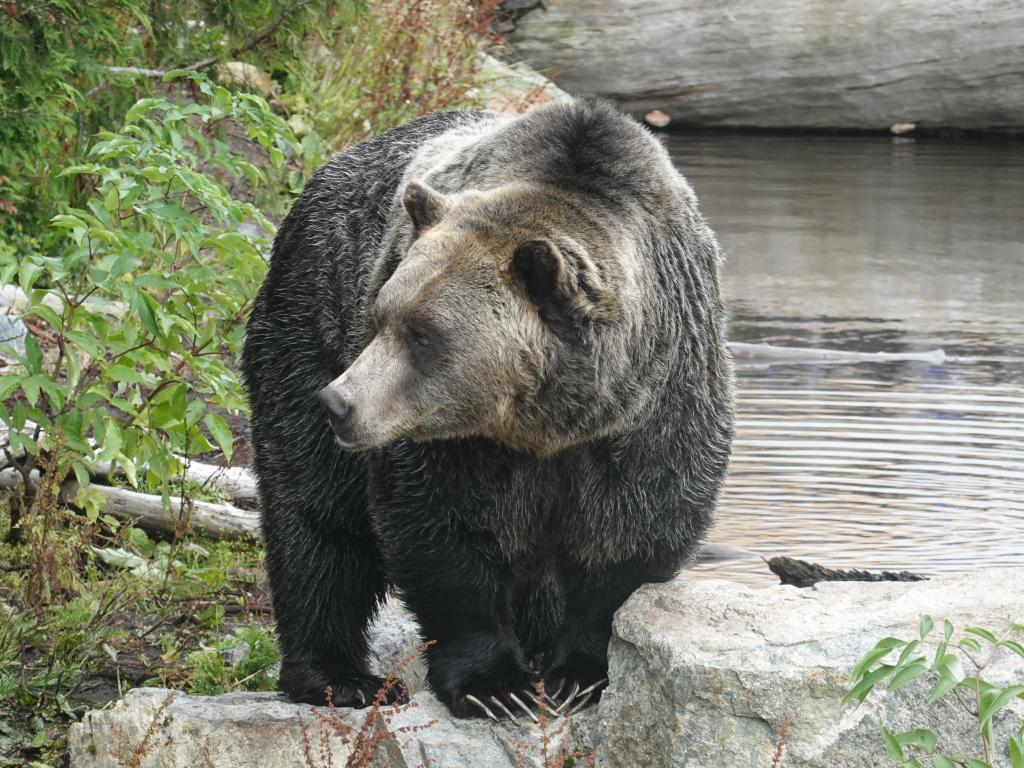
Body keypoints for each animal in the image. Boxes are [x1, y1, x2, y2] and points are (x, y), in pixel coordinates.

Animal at [240, 100, 737, 720]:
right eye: (382, 316)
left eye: (424, 334)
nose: (340, 402)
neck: (551, 420)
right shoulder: (453, 438)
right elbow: (443, 531)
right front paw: (494, 684)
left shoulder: (656, 405)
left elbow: (633, 536)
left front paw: (581, 673)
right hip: (307, 313)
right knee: (317, 513)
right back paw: (339, 677)